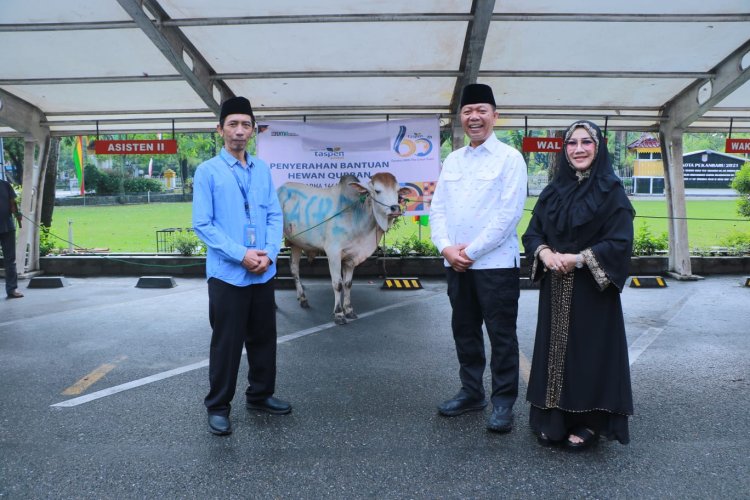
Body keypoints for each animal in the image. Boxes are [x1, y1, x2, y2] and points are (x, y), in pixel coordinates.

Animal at [280, 174, 414, 326]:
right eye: (377, 190)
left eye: (398, 192)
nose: (395, 208)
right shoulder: (333, 253)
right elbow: (338, 284)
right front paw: (339, 314)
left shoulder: (351, 257)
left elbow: (348, 284)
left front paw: (349, 310)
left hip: (296, 244)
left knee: (294, 268)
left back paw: (303, 299)